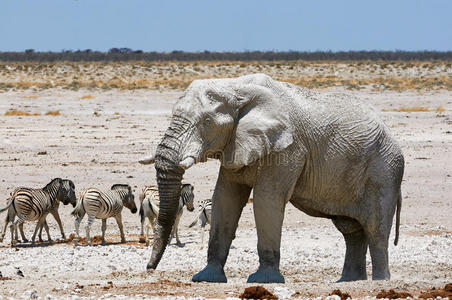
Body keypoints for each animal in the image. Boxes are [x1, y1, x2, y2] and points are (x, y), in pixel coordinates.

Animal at [139, 73, 404, 284]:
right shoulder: (236, 143)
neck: (236, 87)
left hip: (384, 171)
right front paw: (206, 279)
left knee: (376, 230)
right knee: (351, 231)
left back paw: (379, 281)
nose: (150, 268)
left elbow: (267, 199)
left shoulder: (288, 149)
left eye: (206, 122)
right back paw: (349, 281)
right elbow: (226, 197)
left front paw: (264, 280)